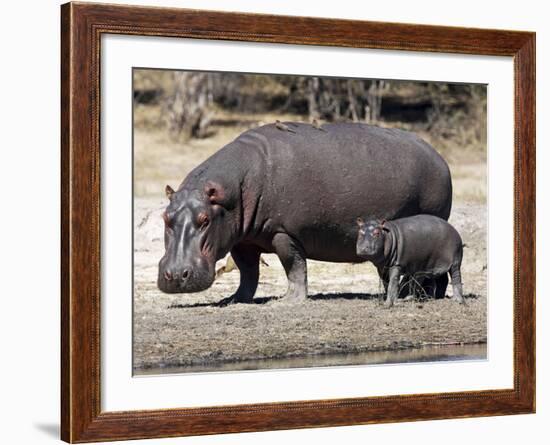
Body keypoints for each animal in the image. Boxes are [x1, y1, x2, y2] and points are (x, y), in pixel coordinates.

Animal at [157, 121, 454, 302]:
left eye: (204, 219)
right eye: (165, 217)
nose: (175, 275)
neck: (231, 192)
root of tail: (439, 157)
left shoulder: (284, 233)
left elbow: (294, 266)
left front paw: (288, 301)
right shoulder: (242, 239)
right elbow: (248, 272)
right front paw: (233, 300)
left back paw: (423, 297)